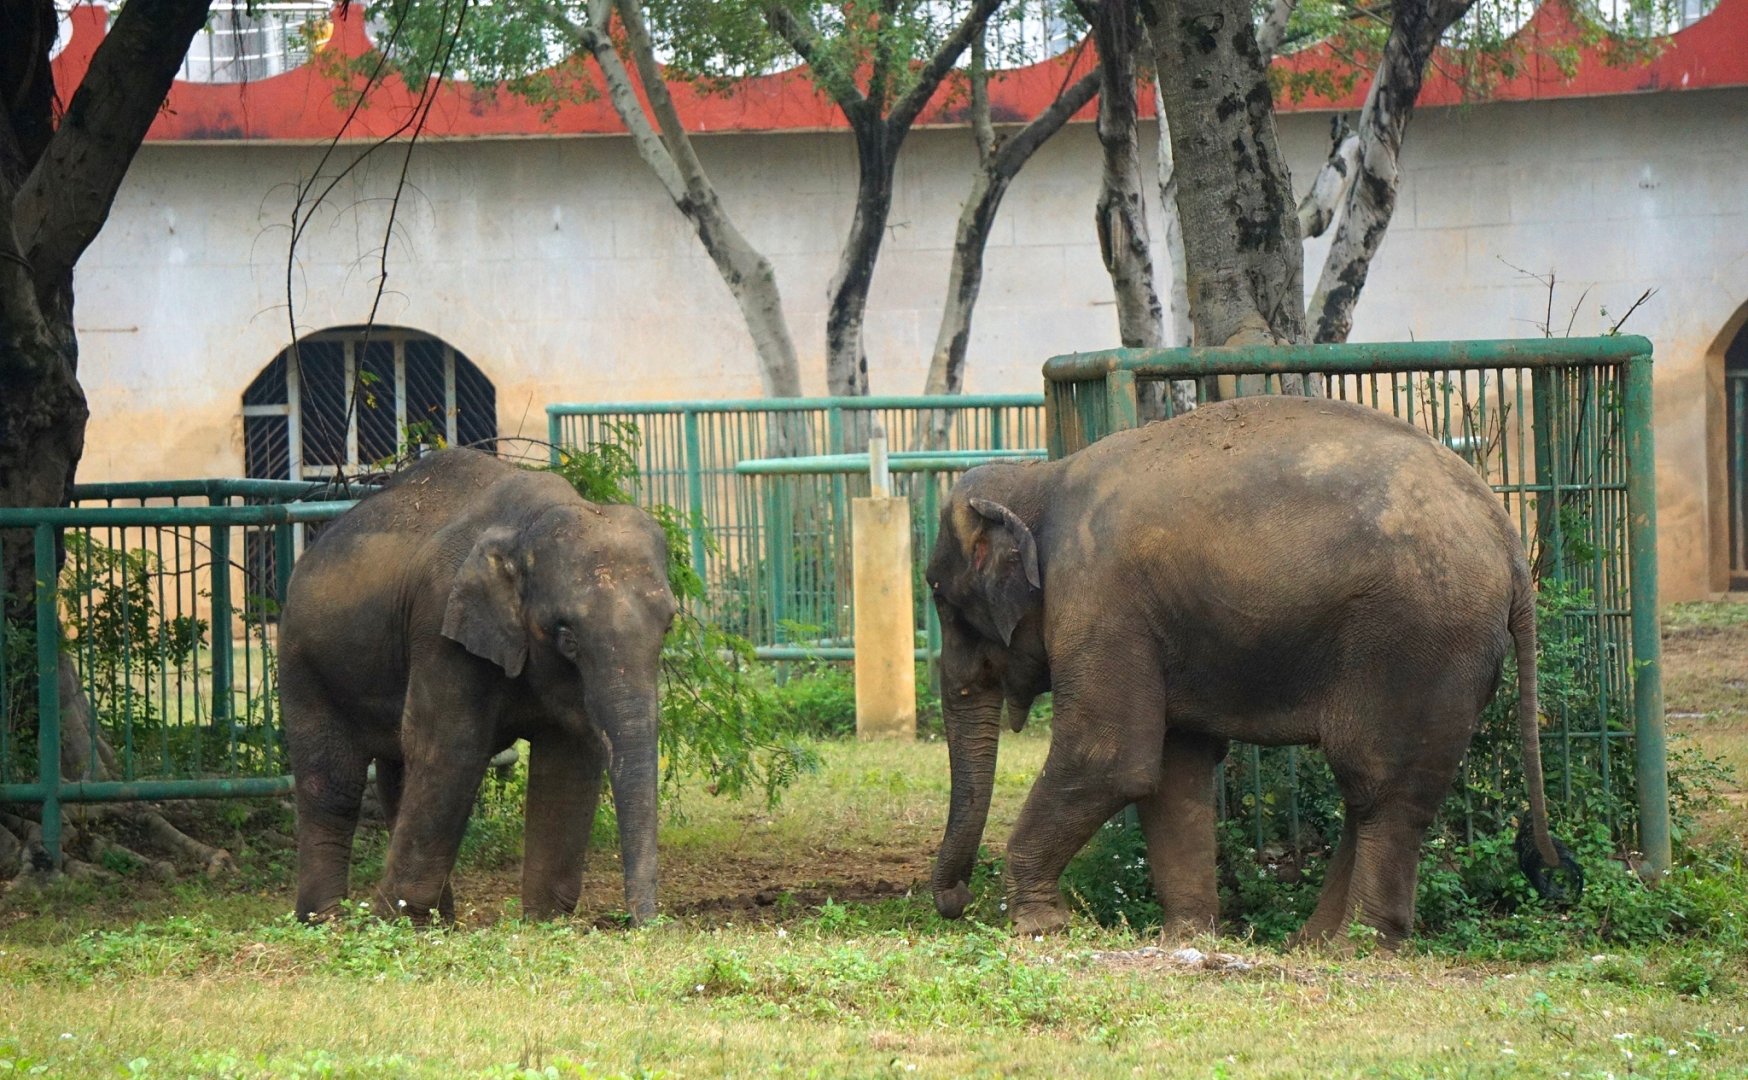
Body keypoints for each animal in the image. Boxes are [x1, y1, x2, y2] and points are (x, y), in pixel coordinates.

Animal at [280, 448, 676, 925]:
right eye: (567, 637)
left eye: (669, 625)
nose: (642, 924)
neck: (529, 526)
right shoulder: (440, 619)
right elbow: (452, 746)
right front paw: (394, 921)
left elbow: (570, 756)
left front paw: (544, 920)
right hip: (304, 662)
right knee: (333, 783)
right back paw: (329, 920)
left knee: (397, 772)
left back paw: (439, 920)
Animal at [927, 395, 1578, 947]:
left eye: (944, 601)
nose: (954, 900)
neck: (1040, 478)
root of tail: (1506, 536)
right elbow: (1172, 773)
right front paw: (1186, 938)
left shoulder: (1101, 598)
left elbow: (1108, 758)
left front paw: (1039, 927)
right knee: (1367, 796)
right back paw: (1313, 944)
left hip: (1420, 642)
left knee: (1382, 788)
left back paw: (1359, 948)